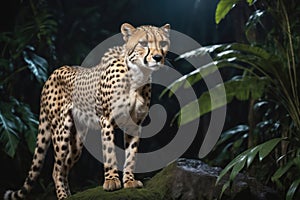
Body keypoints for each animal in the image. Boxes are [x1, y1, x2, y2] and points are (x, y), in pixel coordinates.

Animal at [4, 22, 170, 199]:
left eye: (163, 43)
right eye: (143, 43)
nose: (157, 57)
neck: (138, 75)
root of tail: (53, 73)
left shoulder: (134, 123)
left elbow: (131, 155)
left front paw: (129, 181)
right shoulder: (107, 120)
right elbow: (109, 152)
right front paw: (112, 180)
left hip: (77, 141)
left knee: (64, 167)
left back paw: (69, 195)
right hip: (61, 132)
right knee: (57, 169)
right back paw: (63, 196)